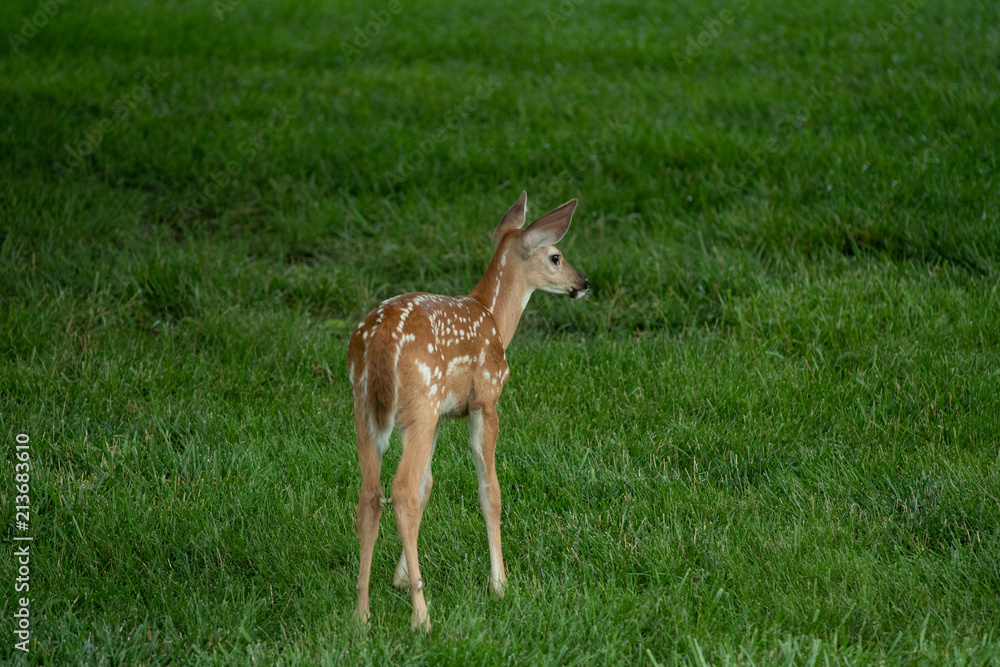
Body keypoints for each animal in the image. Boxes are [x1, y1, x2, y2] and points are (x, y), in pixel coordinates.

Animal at [347, 191, 589, 631]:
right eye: (556, 256)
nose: (583, 283)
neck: (494, 317)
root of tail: (381, 341)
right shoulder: (486, 399)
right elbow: (489, 489)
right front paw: (500, 584)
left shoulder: (442, 416)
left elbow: (428, 484)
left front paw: (401, 578)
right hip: (420, 400)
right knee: (400, 490)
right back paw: (421, 618)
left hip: (367, 406)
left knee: (372, 493)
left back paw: (362, 612)